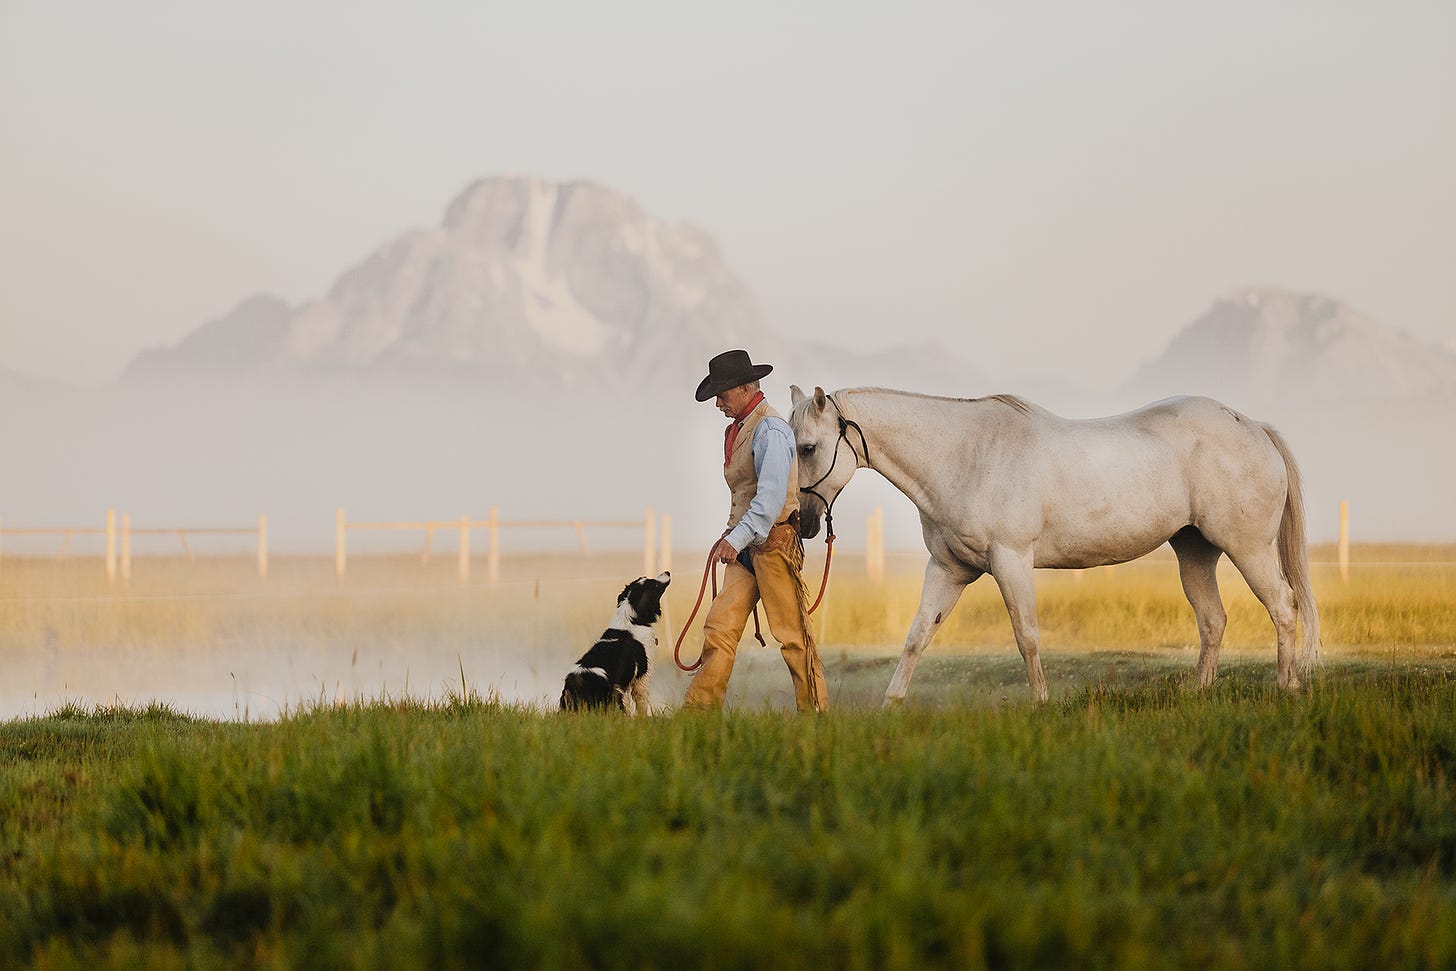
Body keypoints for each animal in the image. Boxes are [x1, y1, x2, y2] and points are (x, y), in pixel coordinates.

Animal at [556, 570, 669, 713]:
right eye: (655, 585)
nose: (667, 572)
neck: (631, 620)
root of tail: (576, 686)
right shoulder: (642, 676)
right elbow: (642, 703)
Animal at [792, 387, 1327, 707]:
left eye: (807, 448)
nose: (802, 522)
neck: (968, 455)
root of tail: (1253, 427)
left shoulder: (1010, 561)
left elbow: (1026, 636)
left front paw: (1042, 704)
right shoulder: (948, 569)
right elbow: (917, 636)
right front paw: (891, 706)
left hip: (1248, 548)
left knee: (1284, 607)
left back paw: (1288, 687)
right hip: (1194, 550)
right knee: (1213, 619)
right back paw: (1199, 693)